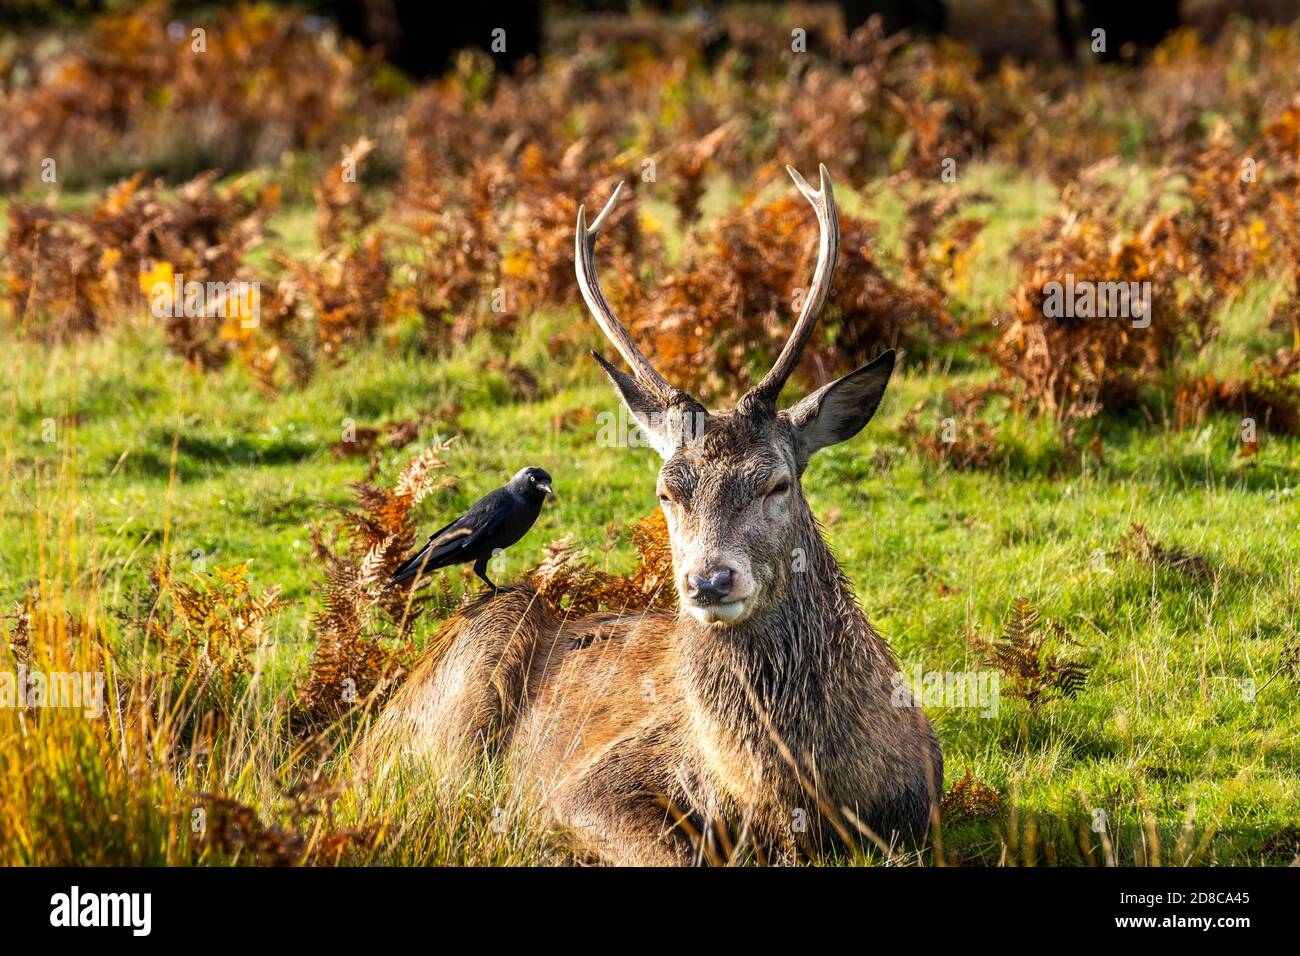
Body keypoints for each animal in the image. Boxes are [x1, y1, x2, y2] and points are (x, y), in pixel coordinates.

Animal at [358, 165, 943, 865]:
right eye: (667, 492)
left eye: (776, 483)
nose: (709, 581)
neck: (788, 796)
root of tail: (366, 733)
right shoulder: (586, 784)